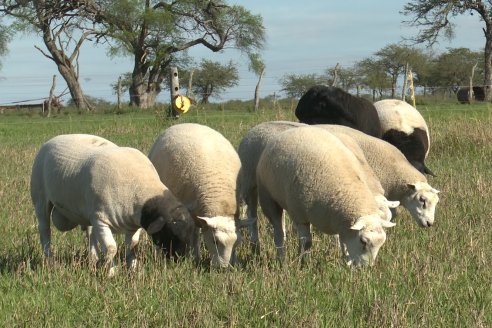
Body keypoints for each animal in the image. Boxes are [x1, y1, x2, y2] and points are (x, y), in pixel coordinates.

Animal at [29, 135, 196, 276]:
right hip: (40, 198)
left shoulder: (133, 223)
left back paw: (92, 258)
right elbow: (111, 248)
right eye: (172, 233)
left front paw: (132, 269)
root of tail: (52, 139)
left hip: (87, 213)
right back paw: (50, 260)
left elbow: (132, 245)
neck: (139, 188)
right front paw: (109, 270)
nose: (181, 261)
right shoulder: (101, 220)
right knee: (45, 230)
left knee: (89, 233)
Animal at [146, 122, 246, 266]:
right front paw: (194, 258)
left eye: (237, 243)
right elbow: (193, 236)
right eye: (215, 241)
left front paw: (235, 261)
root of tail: (184, 123)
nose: (223, 268)